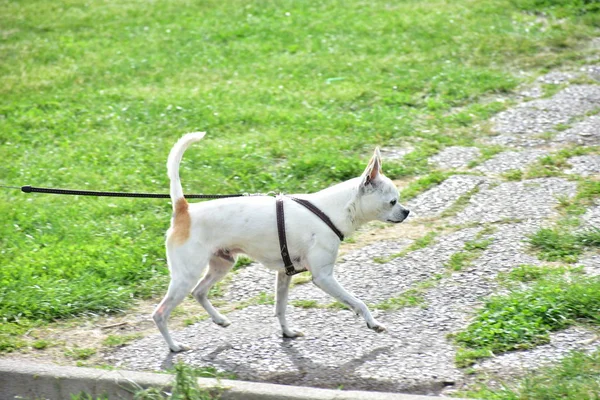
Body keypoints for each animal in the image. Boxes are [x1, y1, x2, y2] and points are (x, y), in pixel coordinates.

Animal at [152, 133, 410, 352]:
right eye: (392, 201)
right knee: (160, 313)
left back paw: (219, 320)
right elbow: (358, 302)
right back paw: (174, 346)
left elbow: (280, 308)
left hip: (221, 265)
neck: (330, 211)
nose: (407, 211)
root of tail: (184, 209)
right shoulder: (323, 278)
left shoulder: (284, 274)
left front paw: (287, 332)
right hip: (186, 276)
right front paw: (373, 323)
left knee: (199, 292)